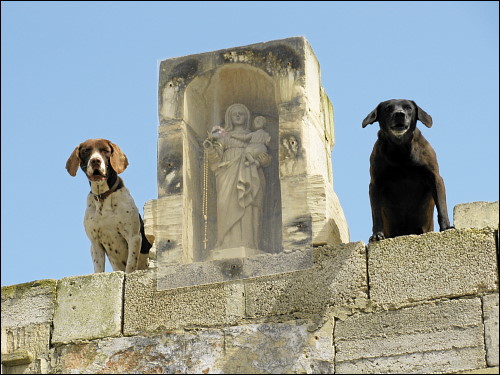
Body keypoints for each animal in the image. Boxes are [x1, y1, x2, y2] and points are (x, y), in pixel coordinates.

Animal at [65, 138, 150, 274]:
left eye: (105, 150)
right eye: (86, 151)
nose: (95, 160)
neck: (103, 198)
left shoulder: (133, 236)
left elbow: (130, 265)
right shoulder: (95, 243)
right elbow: (98, 269)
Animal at [362, 98, 456, 242]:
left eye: (408, 108)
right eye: (388, 108)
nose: (399, 114)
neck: (400, 150)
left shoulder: (435, 178)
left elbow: (441, 207)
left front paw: (446, 227)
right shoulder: (375, 184)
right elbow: (376, 214)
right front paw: (377, 234)